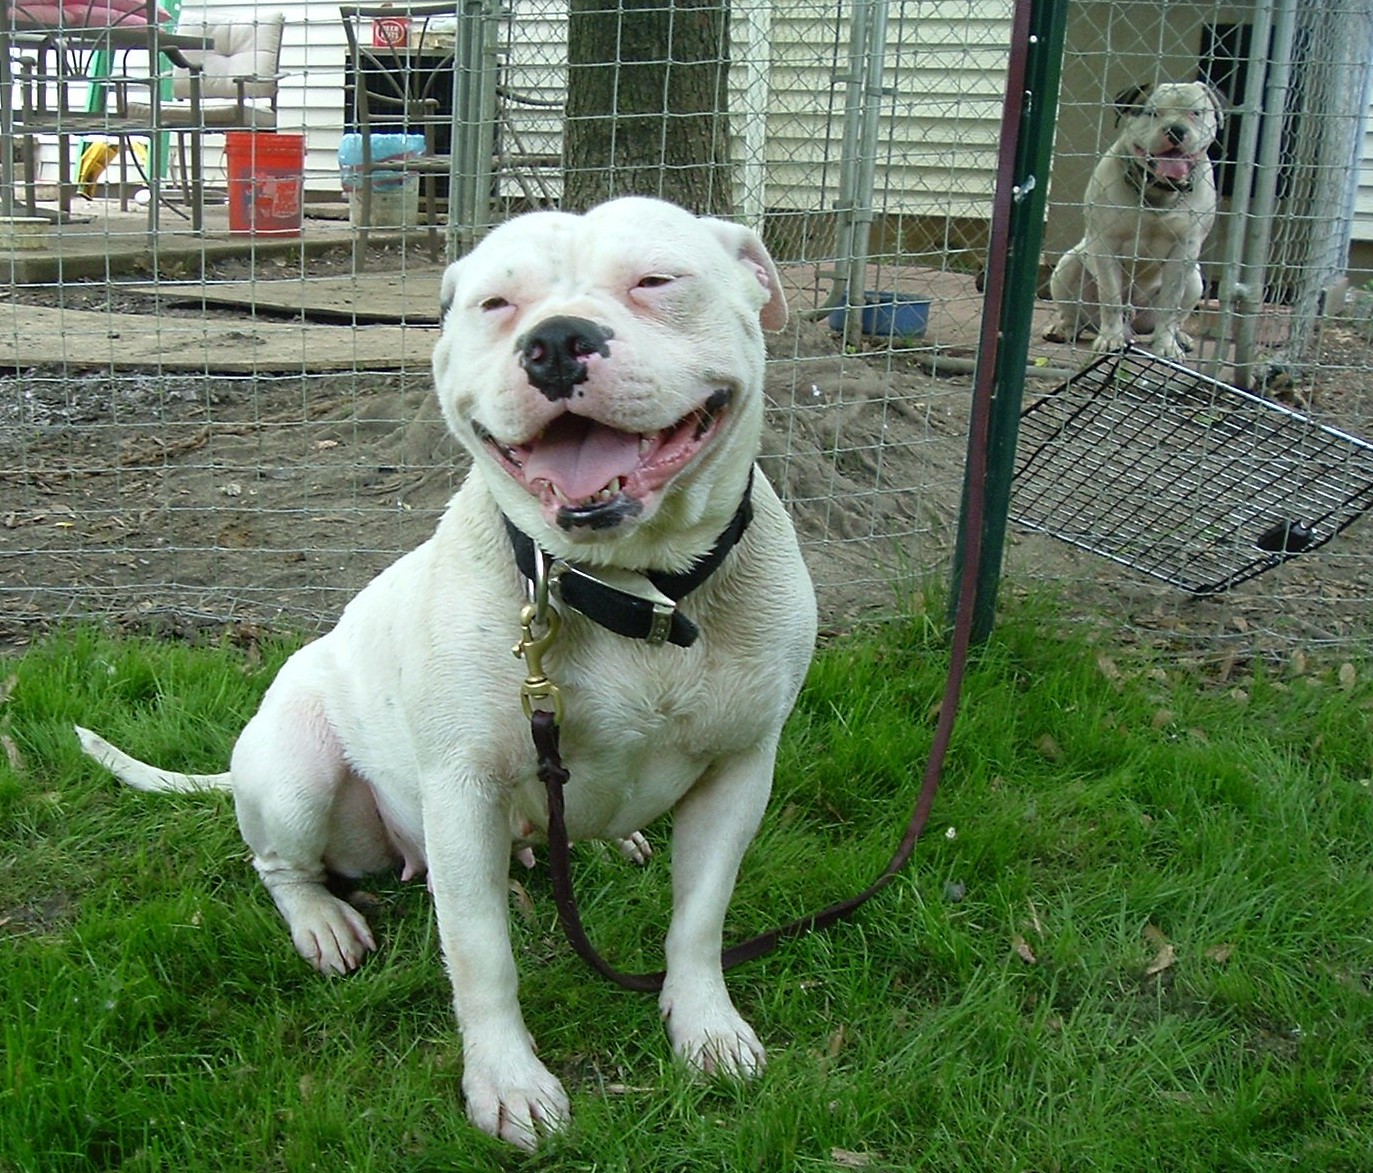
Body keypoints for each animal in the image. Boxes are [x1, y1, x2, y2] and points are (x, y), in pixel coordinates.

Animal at [75, 197, 812, 1153]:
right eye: (497, 304)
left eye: (655, 280)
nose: (556, 339)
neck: (627, 586)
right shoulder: (462, 791)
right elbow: (481, 955)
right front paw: (507, 1082)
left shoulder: (739, 770)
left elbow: (698, 918)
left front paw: (705, 1025)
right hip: (297, 774)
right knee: (277, 864)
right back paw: (322, 921)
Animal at [1043, 81, 1230, 357]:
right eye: (1151, 112)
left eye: (1195, 113)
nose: (1176, 130)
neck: (1159, 190)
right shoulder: (1106, 244)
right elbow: (1110, 297)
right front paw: (1110, 339)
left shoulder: (1184, 251)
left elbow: (1170, 304)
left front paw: (1166, 345)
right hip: (1067, 266)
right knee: (1077, 314)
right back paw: (1064, 329)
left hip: (1195, 279)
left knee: (1175, 316)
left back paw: (1179, 337)